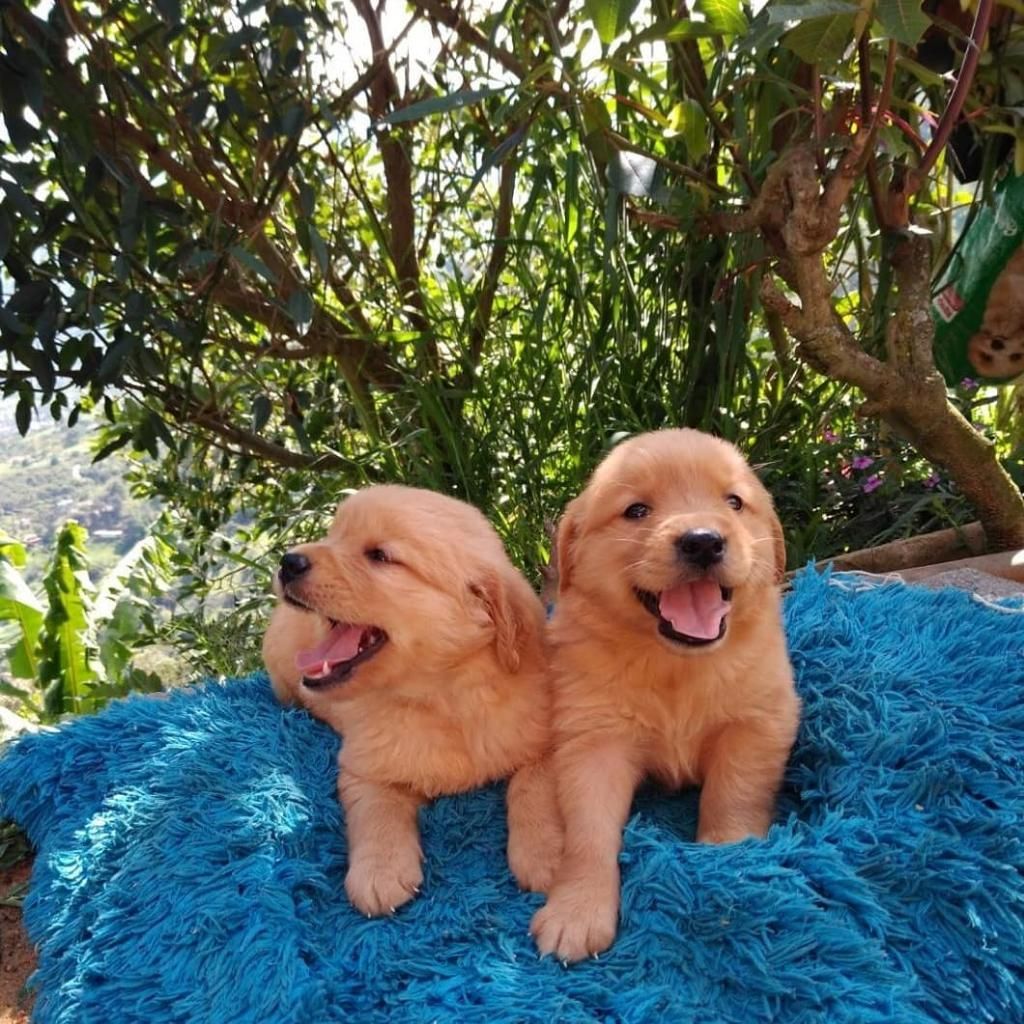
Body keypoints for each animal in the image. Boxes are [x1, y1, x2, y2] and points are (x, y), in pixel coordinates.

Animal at [258, 483, 561, 917]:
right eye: (333, 536)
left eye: (380, 556)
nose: (288, 561)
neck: (441, 696)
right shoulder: (365, 766)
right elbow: (377, 810)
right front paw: (380, 872)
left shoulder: (544, 740)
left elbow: (533, 788)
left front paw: (544, 854)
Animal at [532, 428, 802, 962]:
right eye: (637, 510)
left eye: (734, 502)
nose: (703, 541)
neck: (676, 666)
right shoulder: (593, 743)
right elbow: (588, 835)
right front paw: (577, 912)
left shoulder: (758, 721)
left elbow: (733, 797)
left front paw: (729, 865)